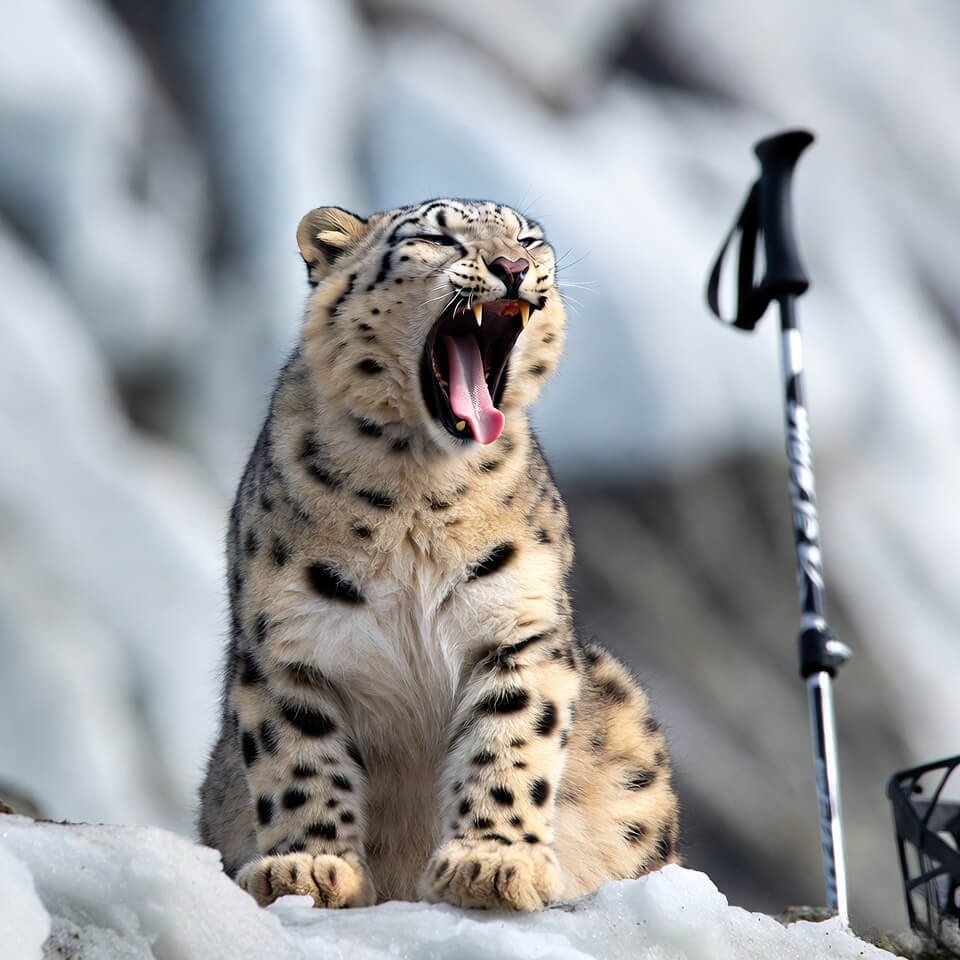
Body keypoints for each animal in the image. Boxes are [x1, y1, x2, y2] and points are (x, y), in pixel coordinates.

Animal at [197, 198, 679, 912]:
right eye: (435, 237)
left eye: (529, 238)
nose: (514, 267)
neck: (414, 492)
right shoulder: (286, 639)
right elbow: (299, 756)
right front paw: (309, 867)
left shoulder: (518, 623)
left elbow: (512, 737)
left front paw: (493, 864)